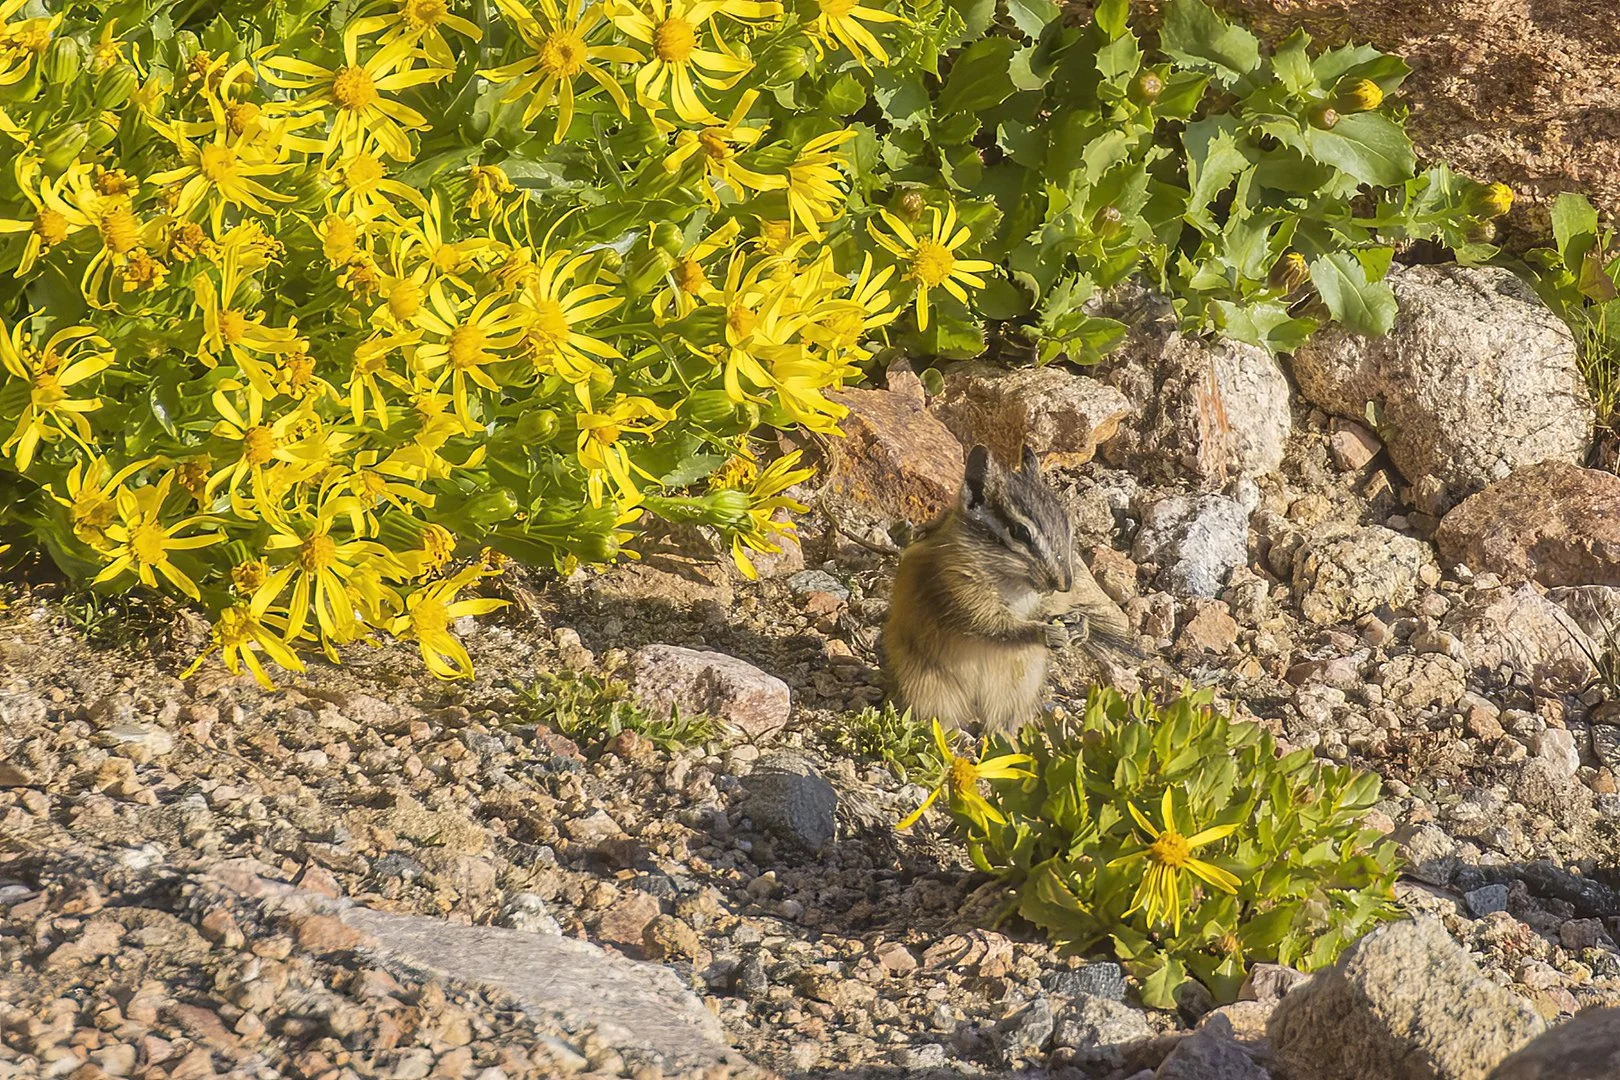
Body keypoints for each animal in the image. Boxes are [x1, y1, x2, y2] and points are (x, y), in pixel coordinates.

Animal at [880, 443, 1138, 737]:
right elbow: (992, 626)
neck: (1016, 583)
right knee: (942, 719)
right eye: (1020, 532)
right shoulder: (959, 588)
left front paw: (1079, 626)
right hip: (930, 687)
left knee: (1000, 723)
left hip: (1017, 690)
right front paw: (1043, 632)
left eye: (1069, 526)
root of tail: (975, 709)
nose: (1064, 584)